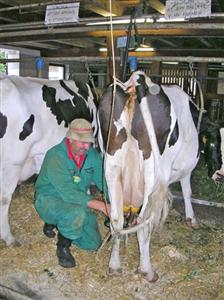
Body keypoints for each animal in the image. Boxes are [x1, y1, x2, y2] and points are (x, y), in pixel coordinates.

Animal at [97, 71, 201, 282]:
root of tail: (136, 80)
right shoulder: (186, 170)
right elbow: (187, 191)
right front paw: (191, 219)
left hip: (111, 164)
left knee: (116, 218)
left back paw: (114, 265)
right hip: (152, 169)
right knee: (144, 220)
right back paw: (147, 270)